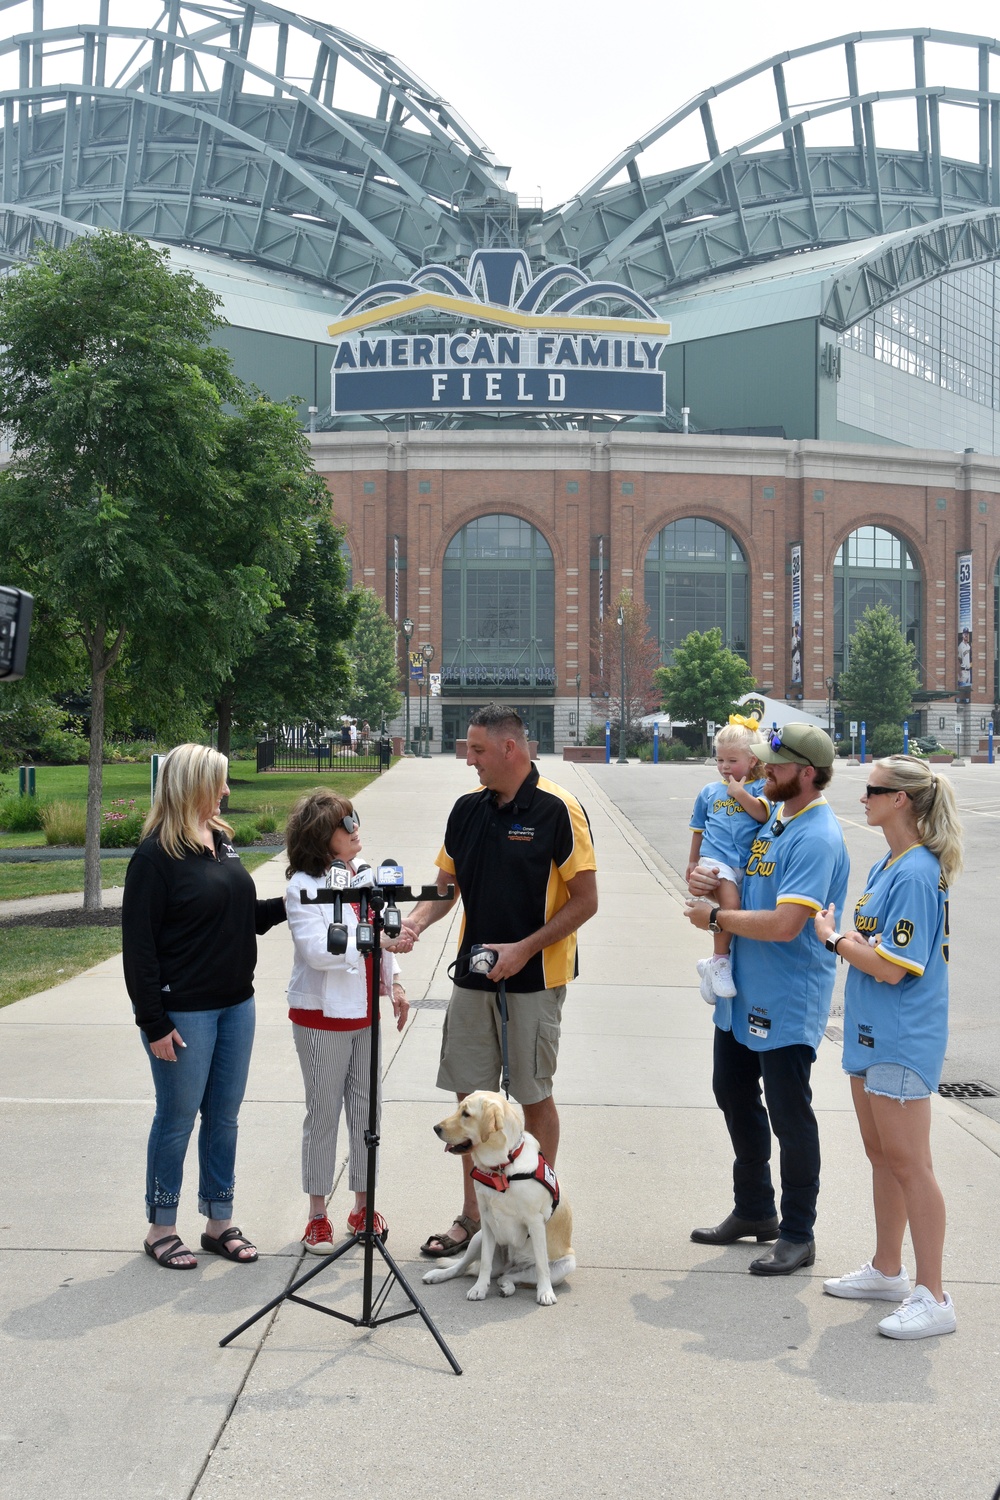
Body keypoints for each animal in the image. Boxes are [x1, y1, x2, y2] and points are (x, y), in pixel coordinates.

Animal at [425, 1092, 578, 1302]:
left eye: (466, 1114)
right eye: (458, 1109)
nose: (436, 1128)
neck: (501, 1167)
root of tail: (510, 1264)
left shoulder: (536, 1223)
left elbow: (541, 1265)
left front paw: (545, 1292)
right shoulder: (487, 1220)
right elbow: (484, 1263)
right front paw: (479, 1288)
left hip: (567, 1264)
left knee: (511, 1276)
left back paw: (508, 1287)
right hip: (478, 1238)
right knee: (464, 1267)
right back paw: (438, 1275)